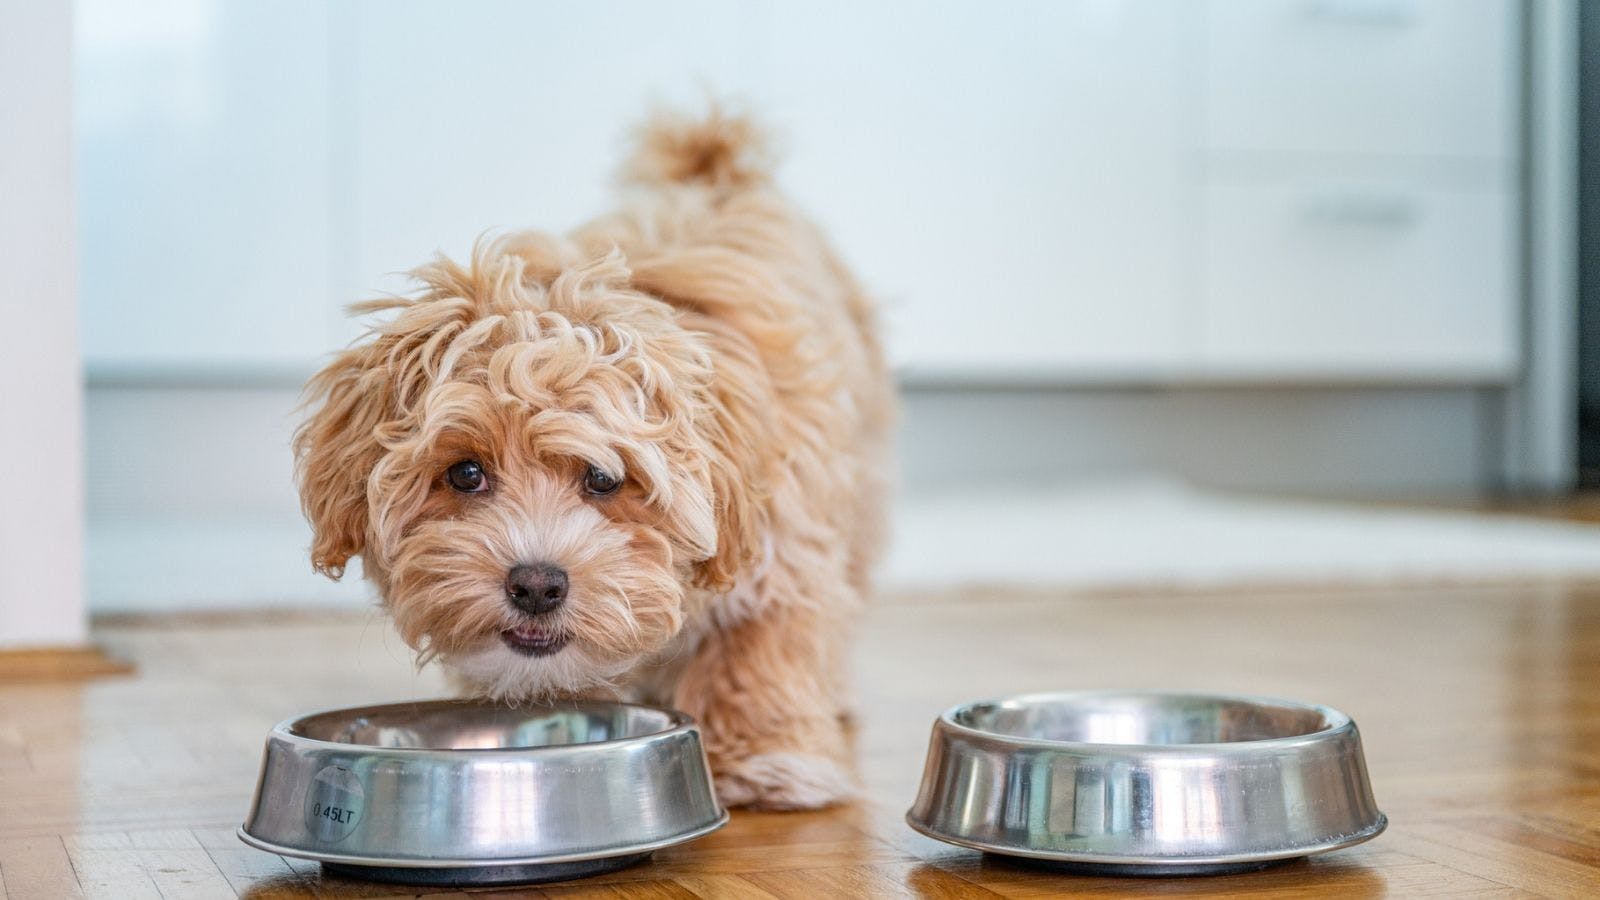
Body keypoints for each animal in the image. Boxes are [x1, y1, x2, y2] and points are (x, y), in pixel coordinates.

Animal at [297, 104, 902, 807]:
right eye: (465, 473)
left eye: (605, 479)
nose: (536, 585)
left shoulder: (783, 543)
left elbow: (757, 644)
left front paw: (762, 758)